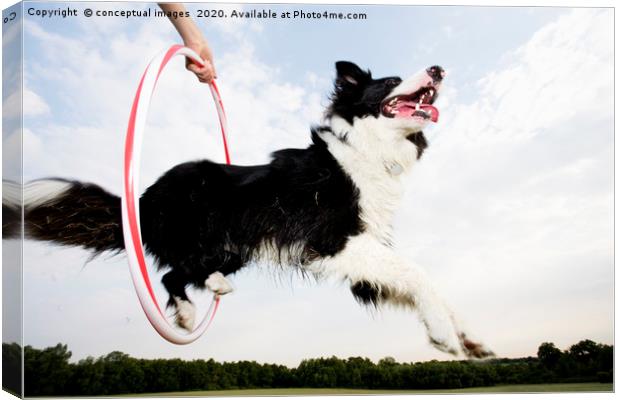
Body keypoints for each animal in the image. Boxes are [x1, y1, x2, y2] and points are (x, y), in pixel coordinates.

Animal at [2, 61, 492, 360]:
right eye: (390, 82)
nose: (438, 69)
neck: (364, 150)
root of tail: (144, 197)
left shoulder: (363, 259)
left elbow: (413, 282)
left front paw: (465, 336)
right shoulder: (332, 241)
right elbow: (417, 273)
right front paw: (445, 334)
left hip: (232, 248)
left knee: (181, 272)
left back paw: (208, 292)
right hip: (205, 237)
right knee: (171, 274)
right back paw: (188, 312)